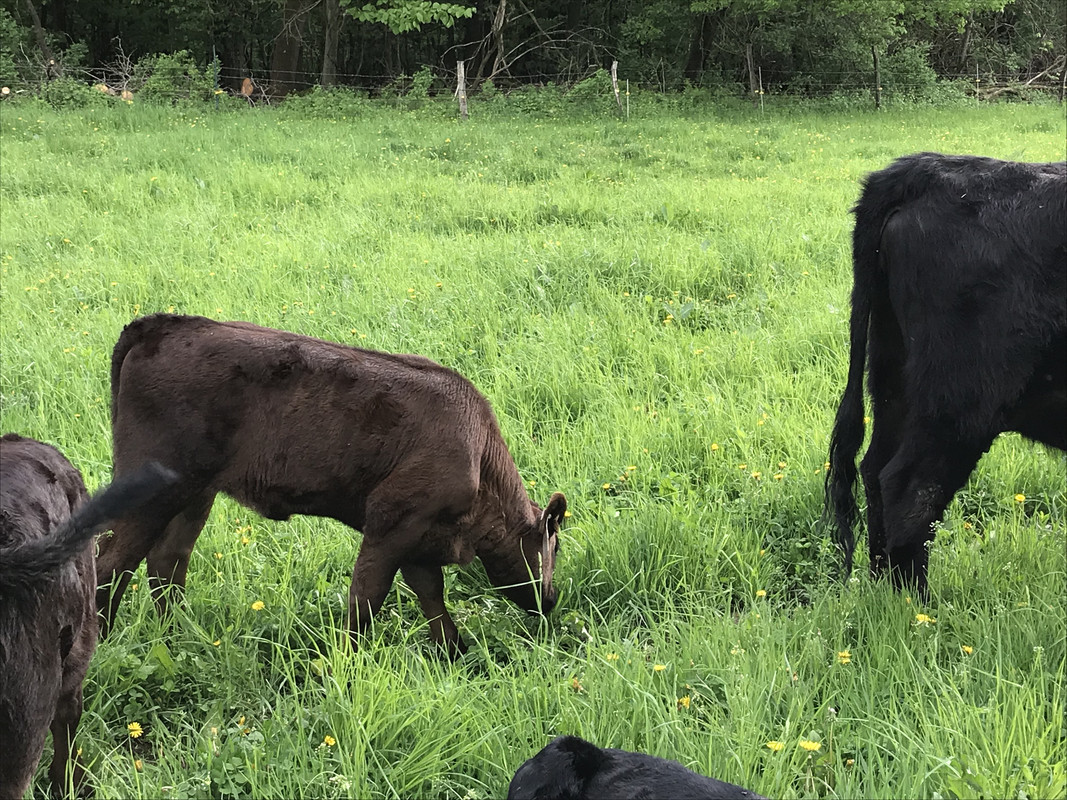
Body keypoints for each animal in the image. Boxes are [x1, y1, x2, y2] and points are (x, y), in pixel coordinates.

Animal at [95, 314, 568, 659]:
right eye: (556, 546)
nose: (550, 601)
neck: (478, 458)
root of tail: (161, 324)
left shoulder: (420, 536)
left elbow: (431, 594)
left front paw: (454, 654)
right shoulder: (392, 520)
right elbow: (367, 598)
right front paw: (346, 664)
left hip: (196, 492)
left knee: (167, 559)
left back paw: (178, 635)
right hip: (152, 490)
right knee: (110, 561)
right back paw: (101, 643)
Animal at [827, 152, 1066, 599]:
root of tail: (926, 168)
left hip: (895, 380)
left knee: (875, 470)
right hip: (958, 404)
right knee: (910, 490)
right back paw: (917, 606)